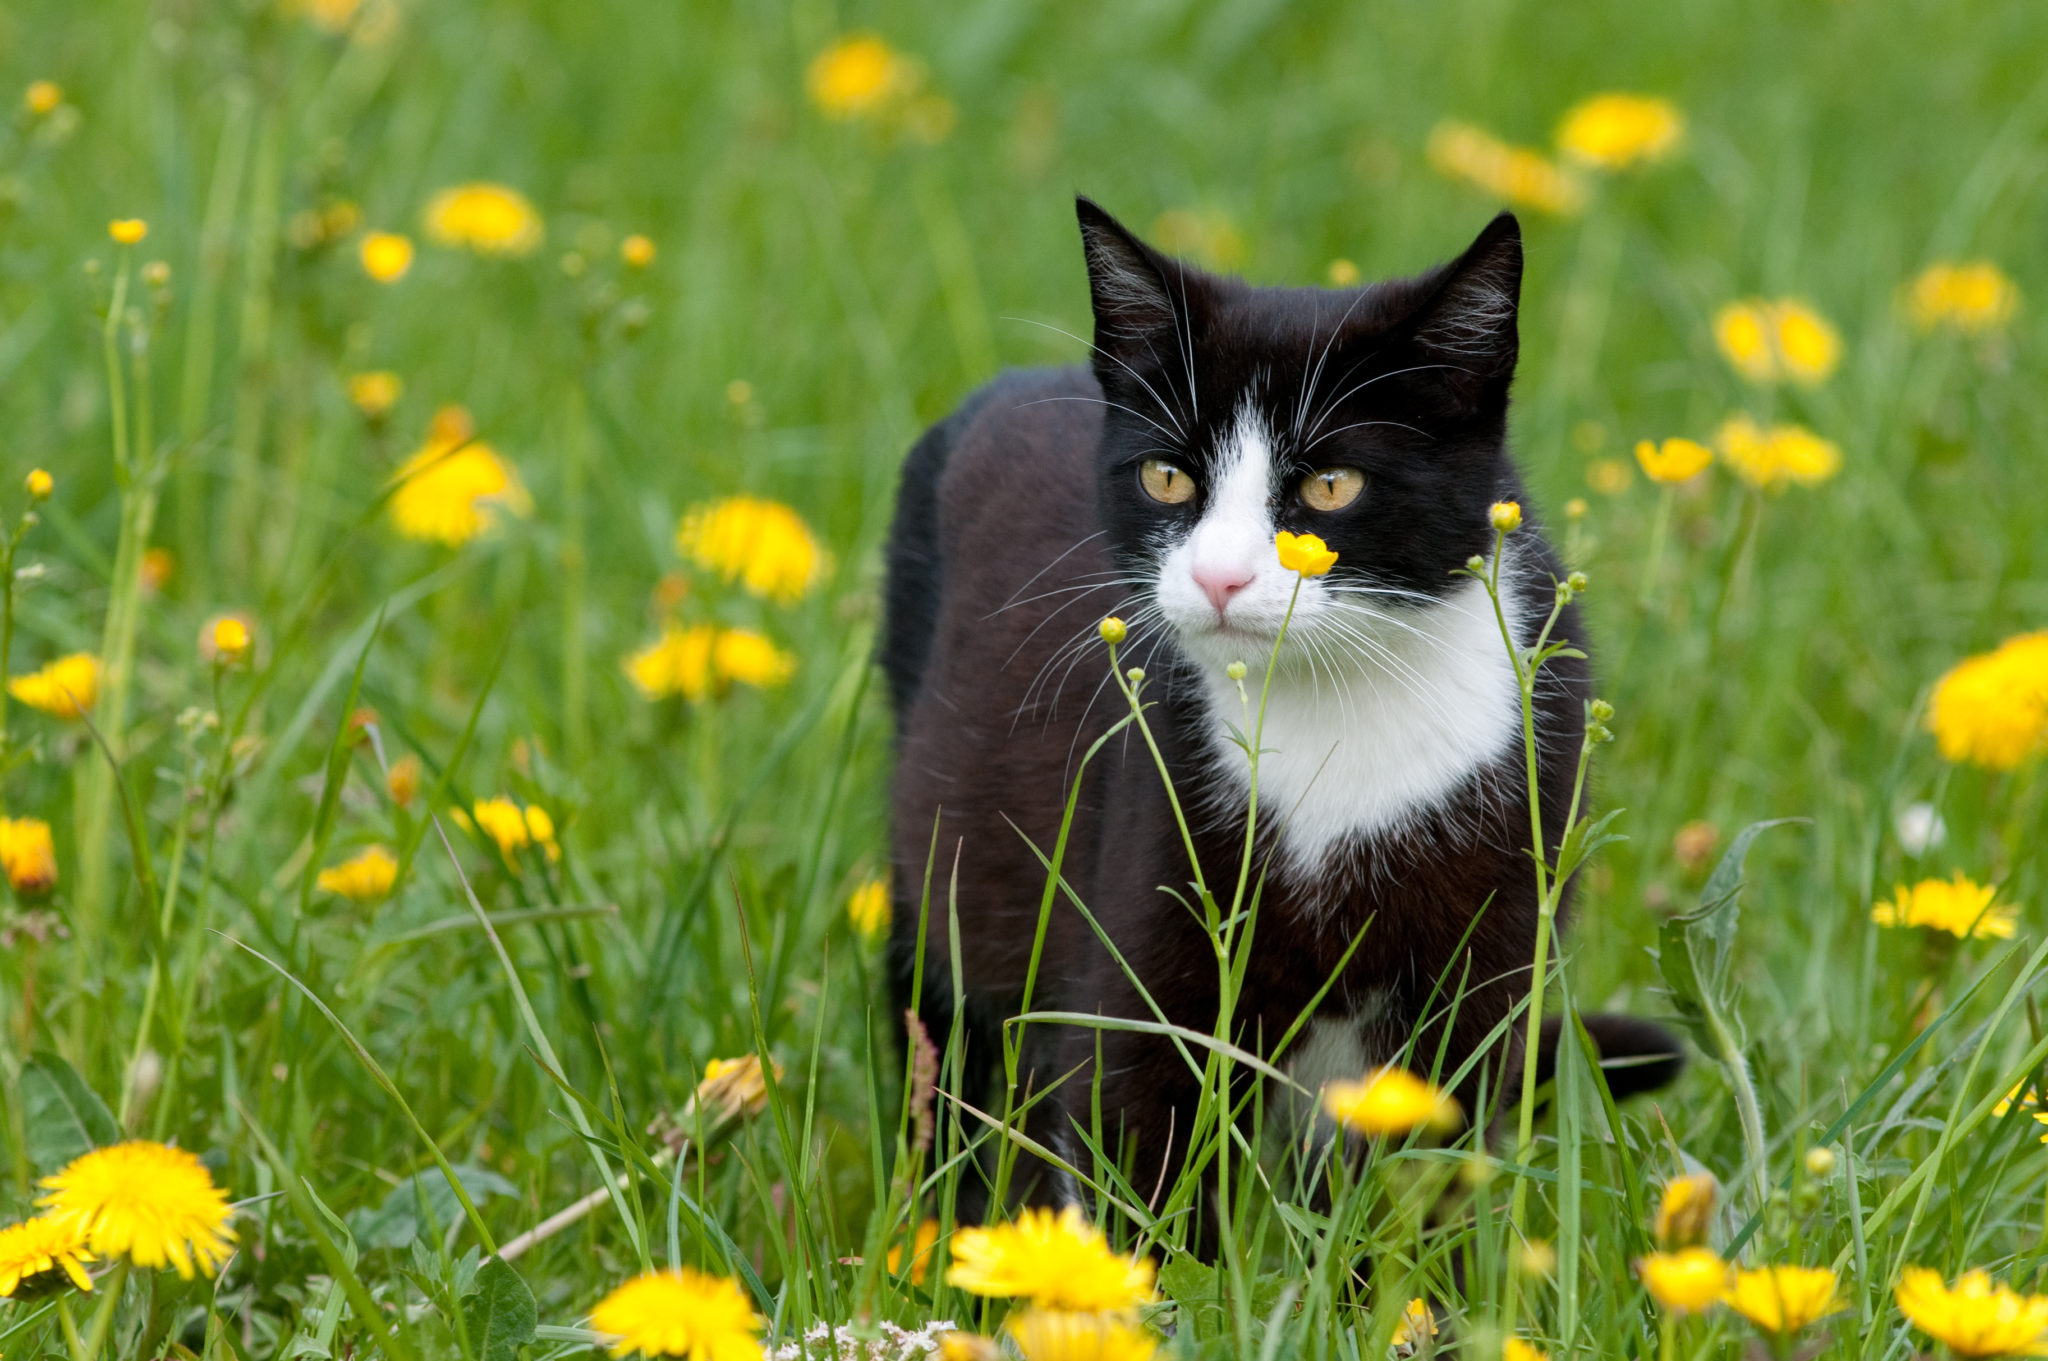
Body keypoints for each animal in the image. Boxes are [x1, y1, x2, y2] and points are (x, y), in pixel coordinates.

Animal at [880, 196, 1679, 1211]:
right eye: (1167, 477)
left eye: (1331, 484)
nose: (1220, 576)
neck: (1340, 711)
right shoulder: (1157, 910)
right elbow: (1138, 1140)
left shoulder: (1491, 954)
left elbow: (1432, 1169)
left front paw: (1407, 1261)